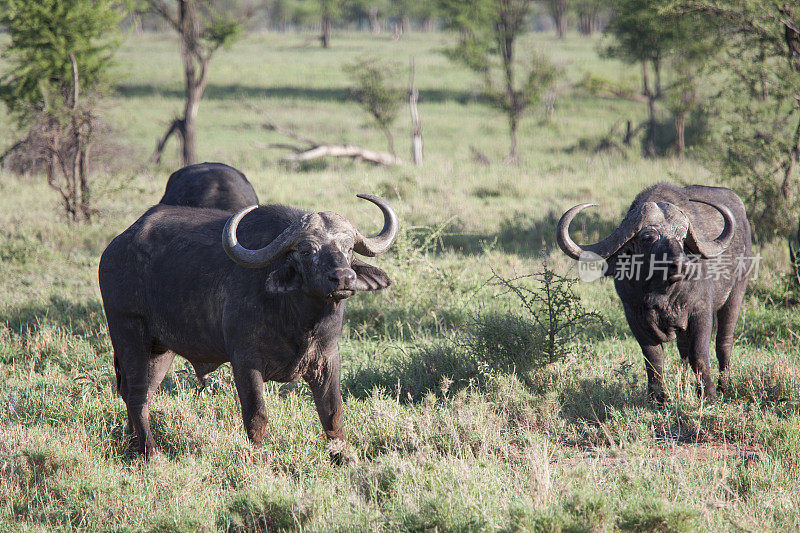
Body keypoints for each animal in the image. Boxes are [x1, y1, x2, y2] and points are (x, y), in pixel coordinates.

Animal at [98, 194, 398, 462]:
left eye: (348, 248)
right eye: (306, 250)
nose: (343, 278)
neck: (299, 320)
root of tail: (115, 248)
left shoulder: (327, 359)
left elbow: (332, 412)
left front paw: (344, 458)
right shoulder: (245, 361)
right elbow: (256, 415)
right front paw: (257, 461)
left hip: (161, 350)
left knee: (142, 394)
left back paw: (134, 447)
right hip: (129, 334)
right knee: (136, 394)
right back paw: (150, 452)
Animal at [556, 184, 752, 404]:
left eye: (682, 236)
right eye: (648, 237)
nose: (681, 265)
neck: (662, 293)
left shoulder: (700, 312)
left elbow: (699, 354)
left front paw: (708, 395)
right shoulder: (634, 316)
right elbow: (654, 358)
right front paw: (657, 398)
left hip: (736, 292)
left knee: (723, 342)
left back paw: (724, 386)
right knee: (683, 349)